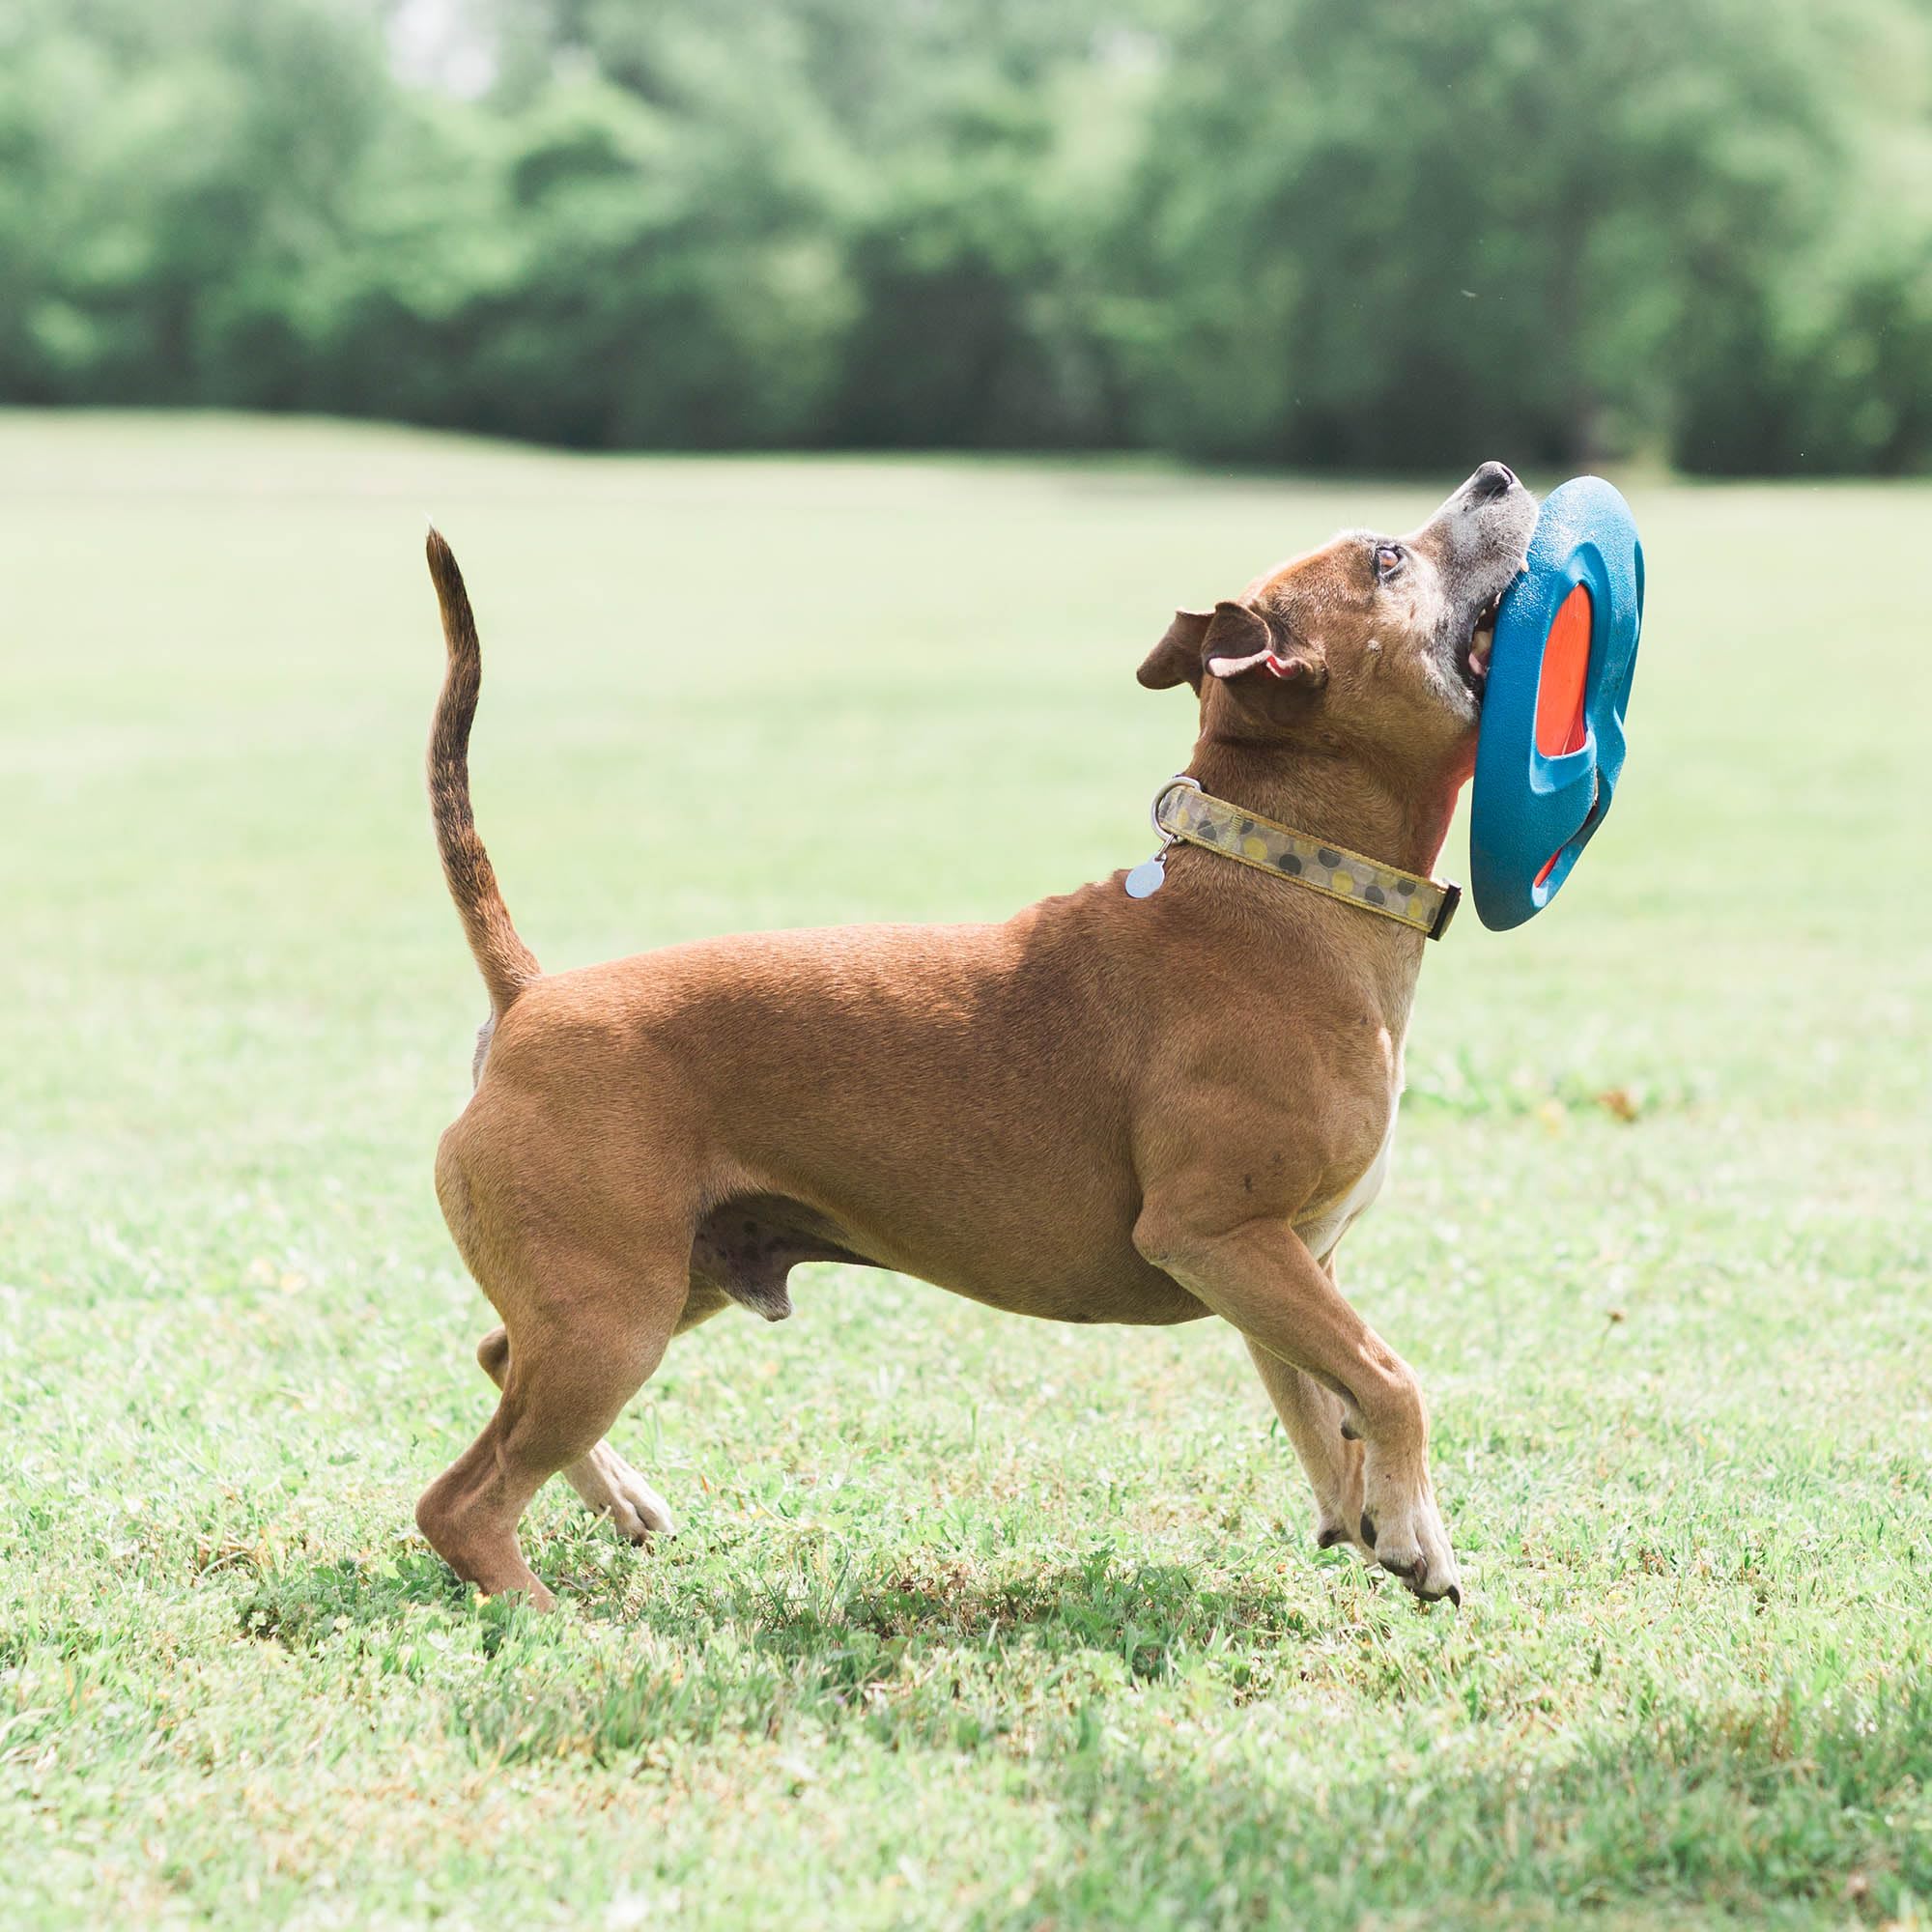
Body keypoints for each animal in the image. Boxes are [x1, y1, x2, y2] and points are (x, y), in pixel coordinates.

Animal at [415, 468, 1530, 1615]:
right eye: (1386, 560)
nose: (1494, 476)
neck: (1286, 879)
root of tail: (531, 997)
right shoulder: (1218, 1235)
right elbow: (1391, 1376)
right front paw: (1414, 1523)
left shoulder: (1284, 1264)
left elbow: (1330, 1404)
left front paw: (1383, 1520)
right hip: (611, 1325)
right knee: (459, 1501)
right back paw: (545, 1613)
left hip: (655, 1289)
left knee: (499, 1354)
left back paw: (620, 1499)